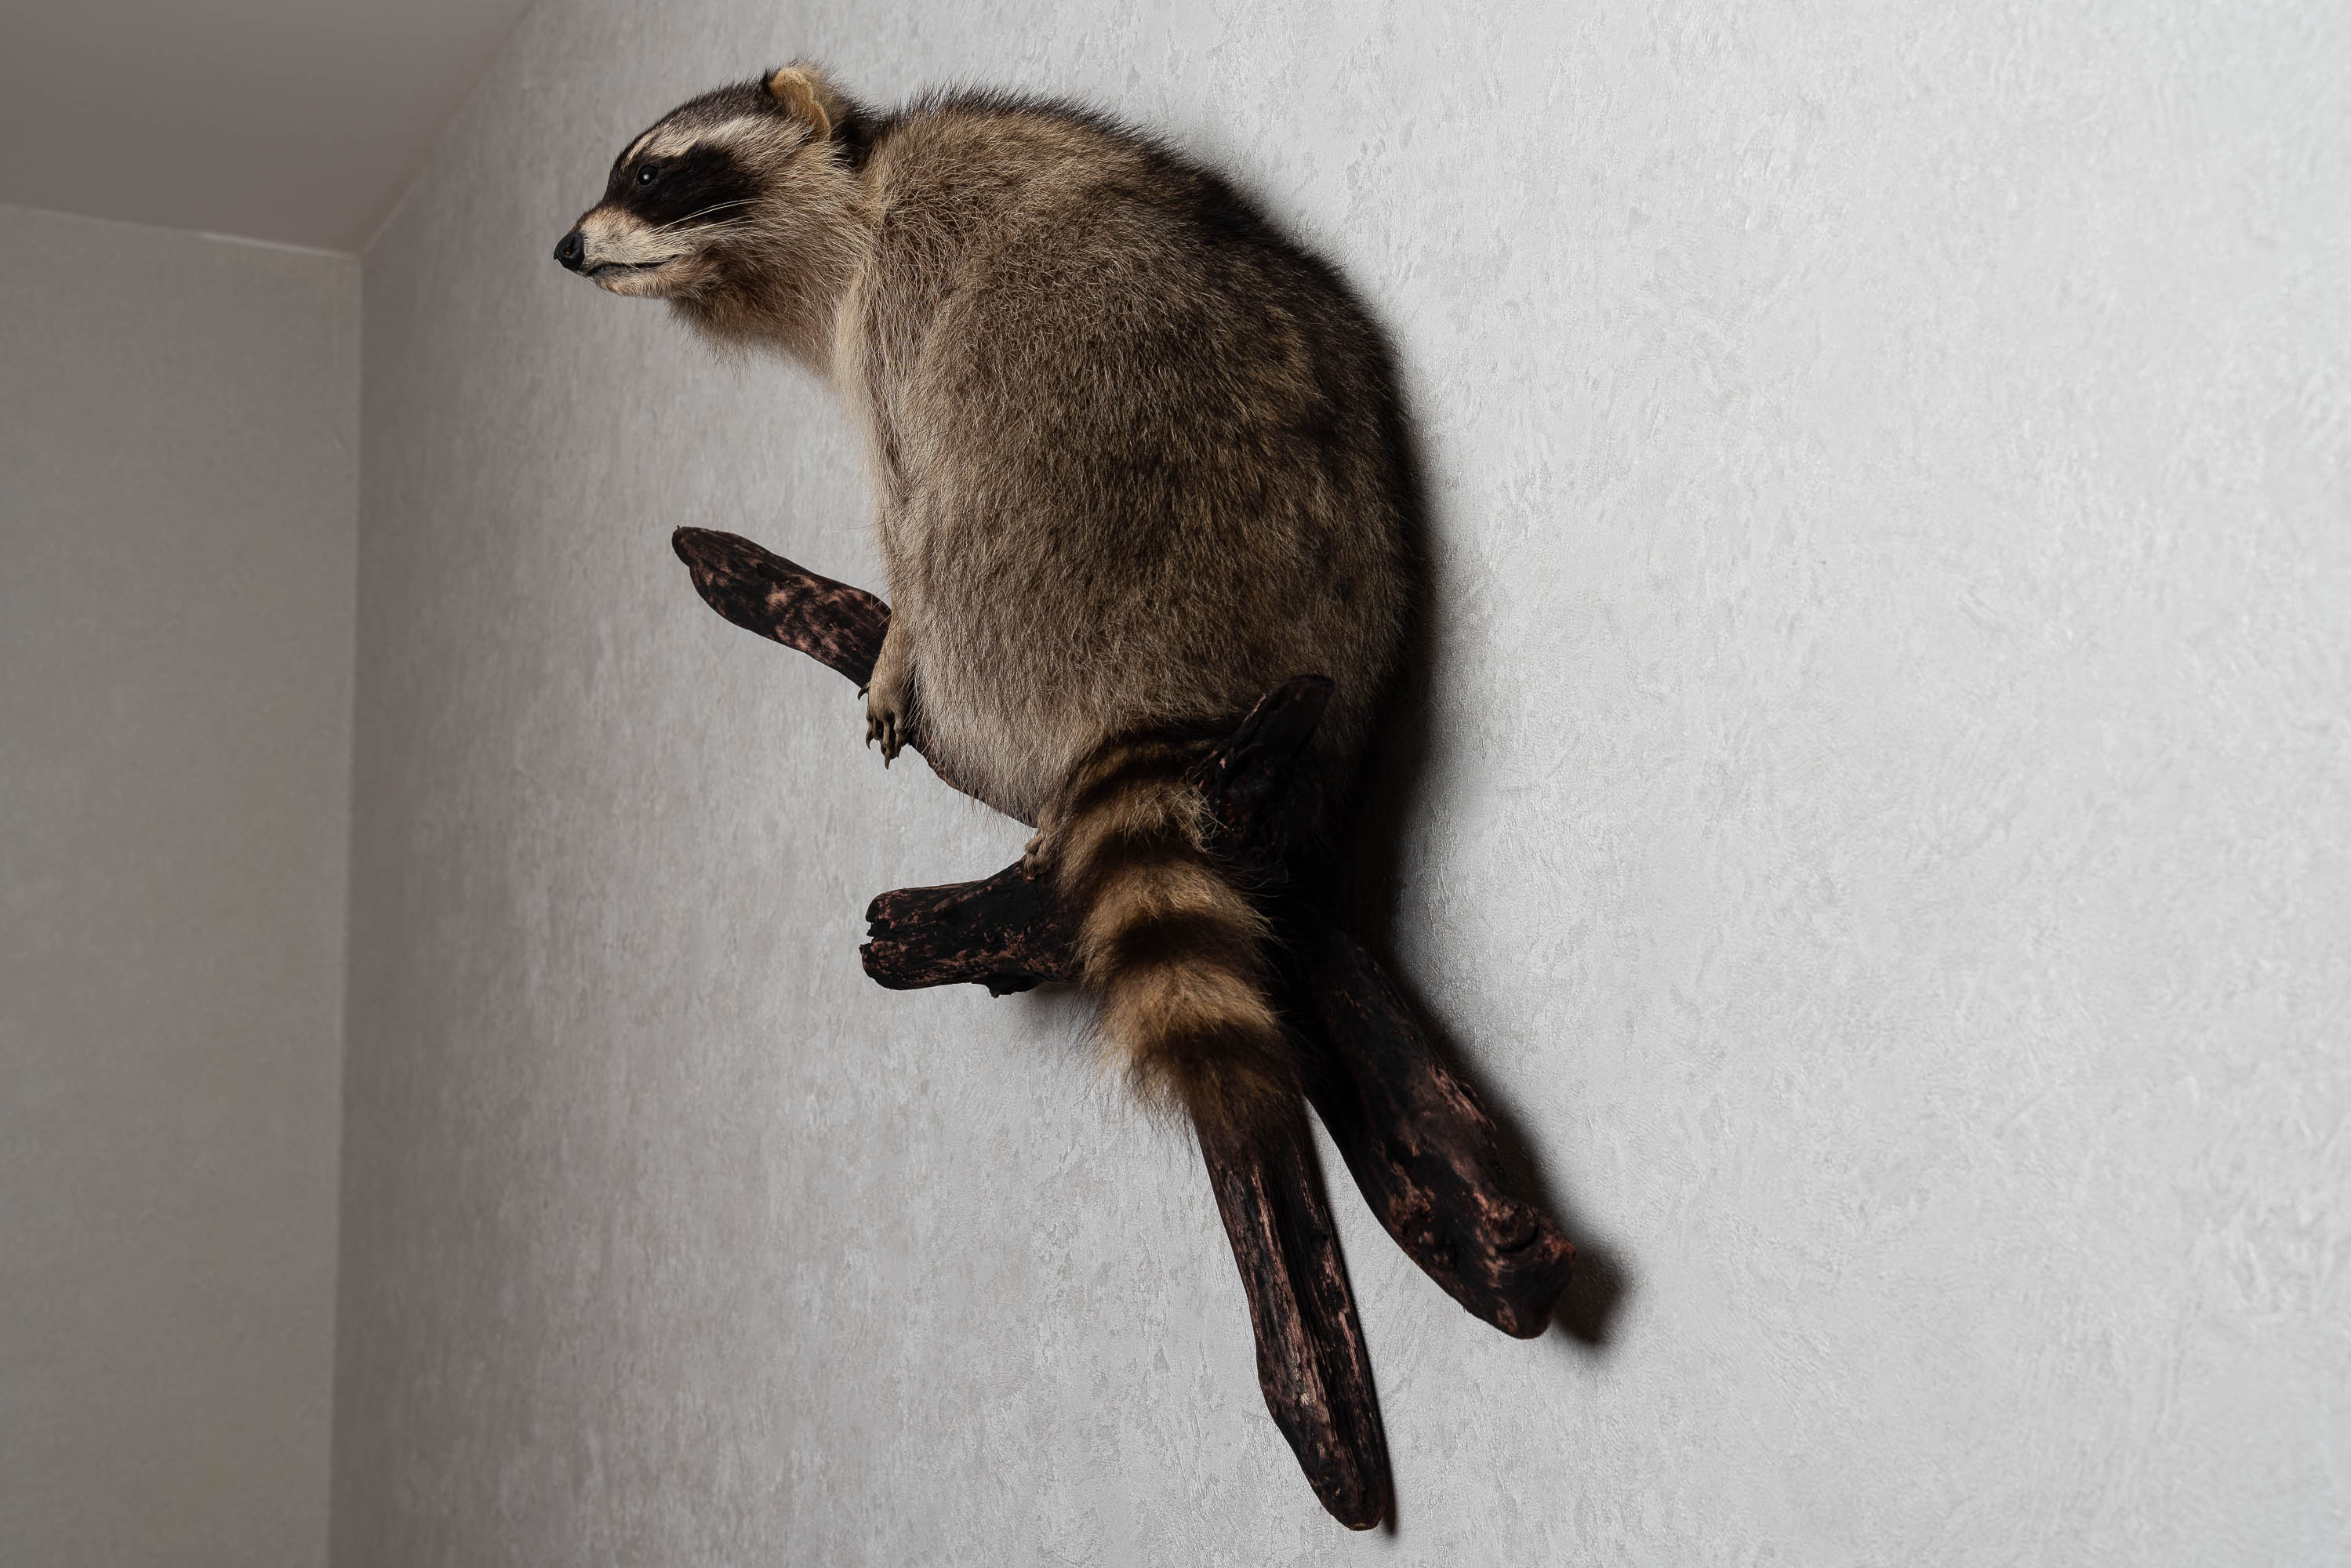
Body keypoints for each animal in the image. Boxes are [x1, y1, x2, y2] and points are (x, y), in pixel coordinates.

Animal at [557, 66, 1415, 1140]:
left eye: (651, 174)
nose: (565, 247)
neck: (856, 195)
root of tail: (1177, 670)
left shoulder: (899, 292)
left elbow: (904, 496)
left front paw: (895, 641)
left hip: (1036, 516)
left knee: (954, 520)